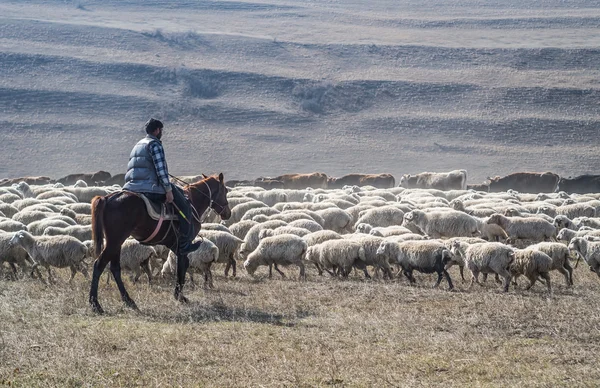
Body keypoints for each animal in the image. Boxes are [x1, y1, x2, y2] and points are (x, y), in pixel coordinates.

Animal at [88, 174, 230, 314]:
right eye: (225, 190)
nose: (228, 213)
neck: (193, 201)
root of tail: (107, 198)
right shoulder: (184, 245)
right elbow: (182, 267)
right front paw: (180, 296)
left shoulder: (175, 246)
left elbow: (181, 266)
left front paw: (179, 294)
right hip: (115, 240)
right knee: (99, 265)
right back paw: (95, 304)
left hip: (116, 242)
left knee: (115, 268)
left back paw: (129, 301)